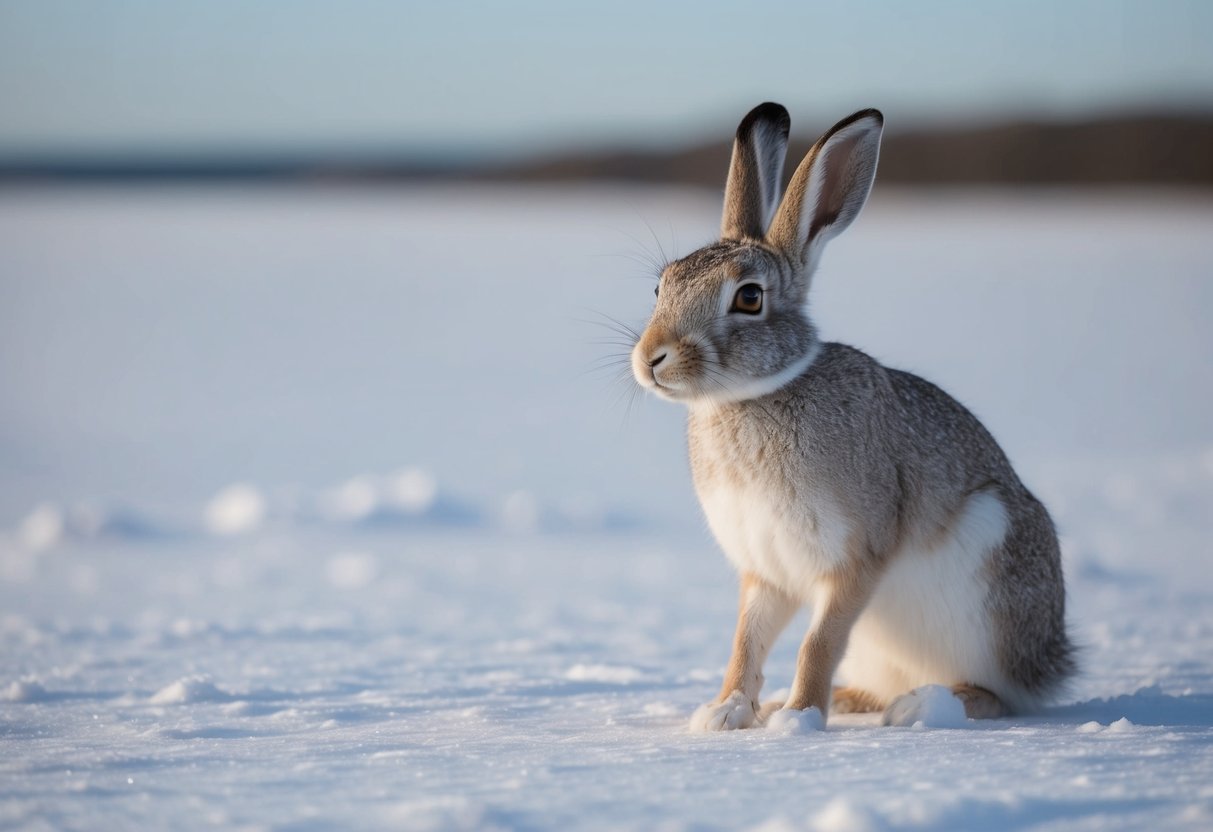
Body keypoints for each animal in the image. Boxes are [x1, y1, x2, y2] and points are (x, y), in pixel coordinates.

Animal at [629, 103, 1075, 730]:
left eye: (749, 298)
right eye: (660, 286)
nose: (651, 358)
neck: (751, 397)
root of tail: (1054, 660)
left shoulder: (856, 558)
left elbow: (818, 642)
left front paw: (797, 721)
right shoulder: (766, 571)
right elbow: (747, 643)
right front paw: (726, 714)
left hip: (988, 601)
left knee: (999, 694)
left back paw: (923, 706)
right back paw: (842, 701)